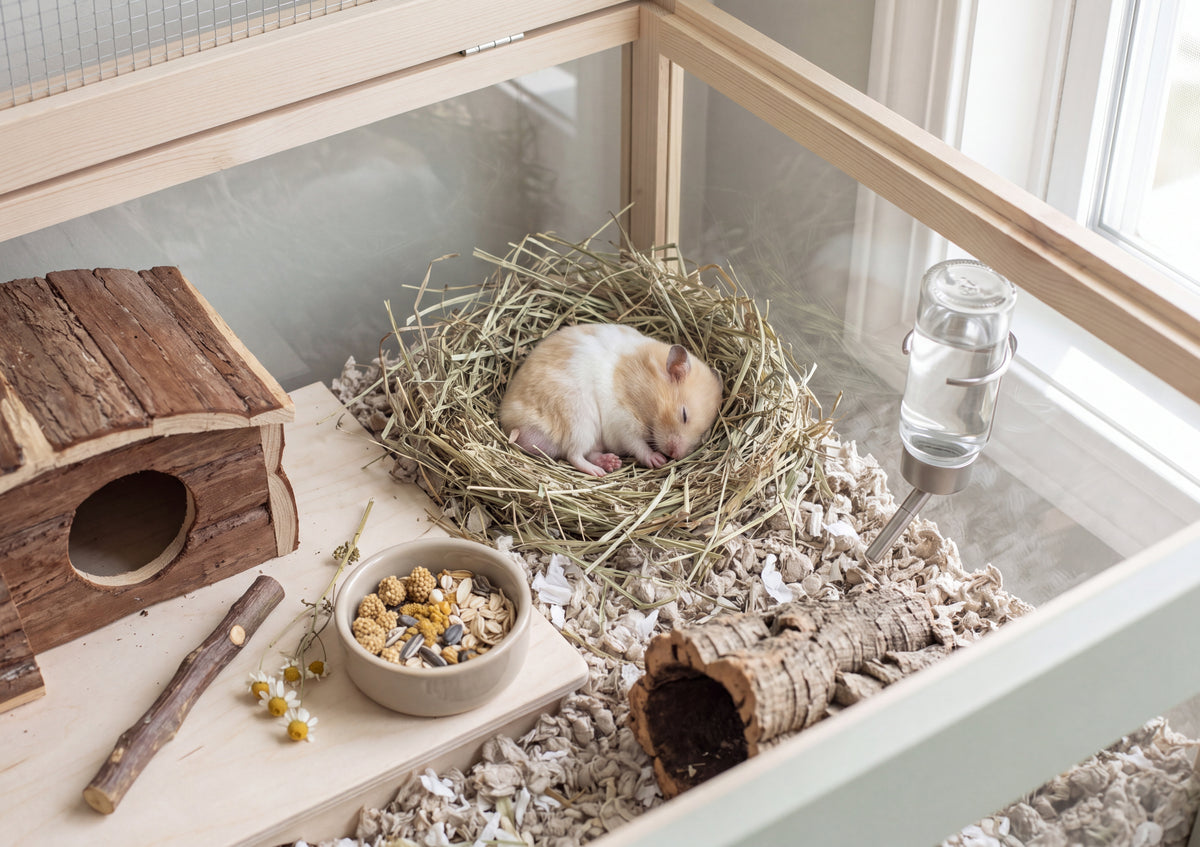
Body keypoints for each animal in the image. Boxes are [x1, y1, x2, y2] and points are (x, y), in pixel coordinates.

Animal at [499, 323, 723, 477]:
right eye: (684, 415)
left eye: (703, 434)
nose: (675, 456)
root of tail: (511, 425)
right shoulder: (621, 421)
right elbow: (637, 444)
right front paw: (657, 460)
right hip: (579, 420)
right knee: (574, 455)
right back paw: (598, 471)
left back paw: (610, 462)